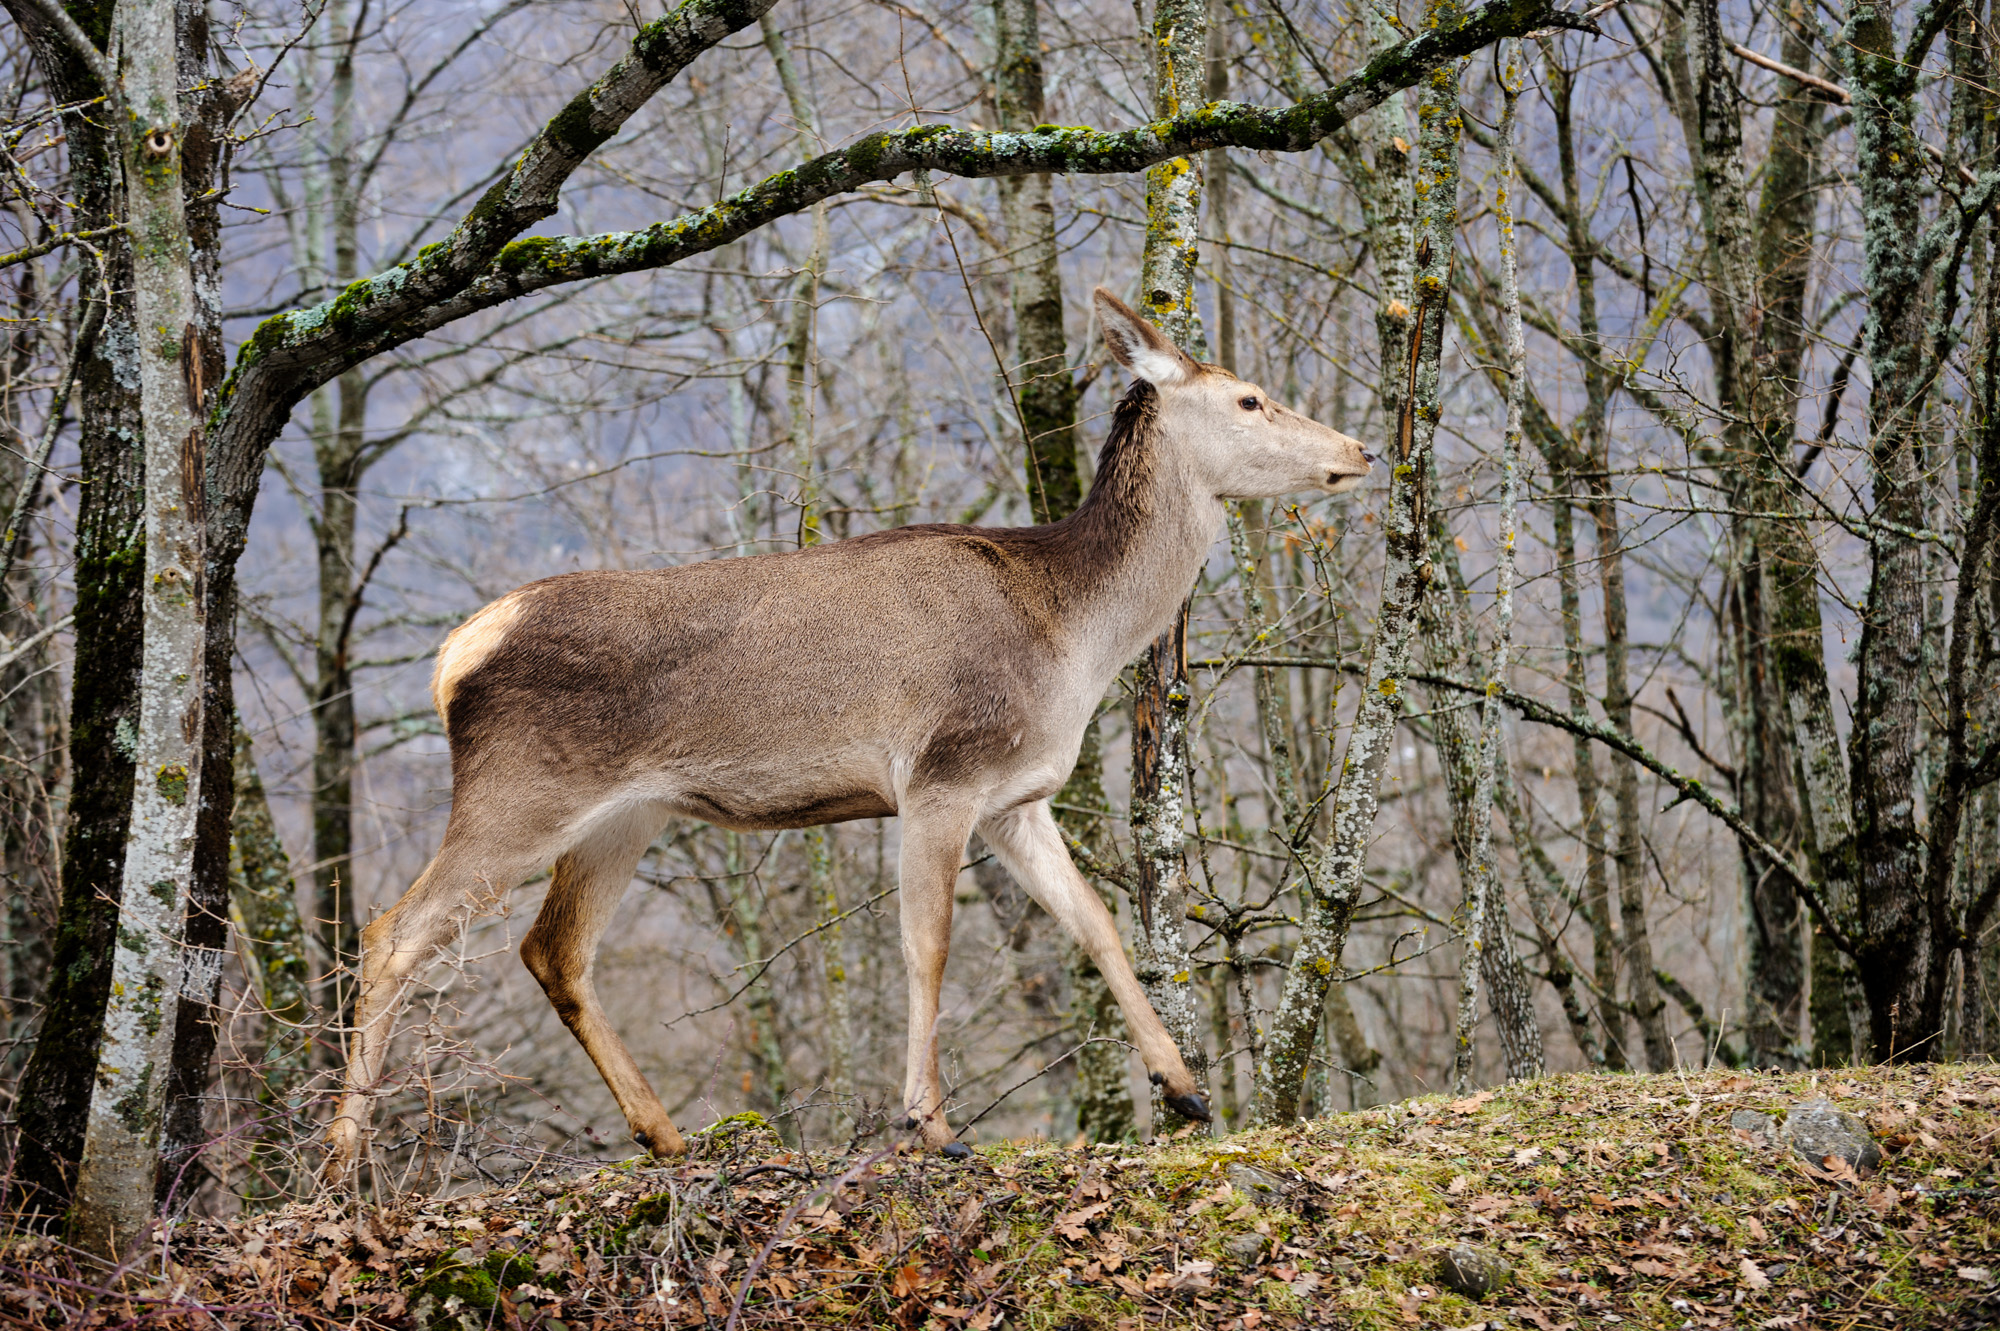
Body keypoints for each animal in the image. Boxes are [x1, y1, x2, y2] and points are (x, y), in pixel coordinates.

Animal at [322, 288, 1373, 1177]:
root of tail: (452, 655)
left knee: (554, 949)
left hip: (629, 814)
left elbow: (1097, 923)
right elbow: (927, 943)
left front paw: (1185, 1088)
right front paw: (932, 1123)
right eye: (1249, 397)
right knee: (395, 928)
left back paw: (665, 1135)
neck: (1071, 638)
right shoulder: (943, 770)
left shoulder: (1017, 796)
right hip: (520, 787)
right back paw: (341, 1158)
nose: (1357, 449)